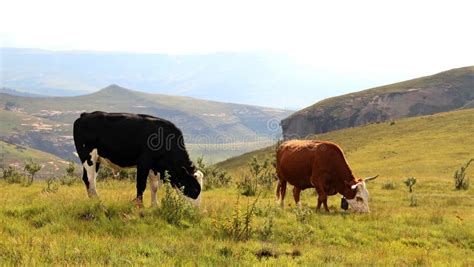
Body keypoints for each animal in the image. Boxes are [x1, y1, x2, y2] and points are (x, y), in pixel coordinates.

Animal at [73, 112, 203, 206]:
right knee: (89, 179)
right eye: (195, 189)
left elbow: (154, 187)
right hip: (88, 157)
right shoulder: (144, 163)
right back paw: (99, 203)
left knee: (90, 180)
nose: (197, 211)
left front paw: (154, 205)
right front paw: (140, 205)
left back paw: (93, 201)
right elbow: (141, 185)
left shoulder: (154, 166)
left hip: (97, 160)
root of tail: (85, 115)